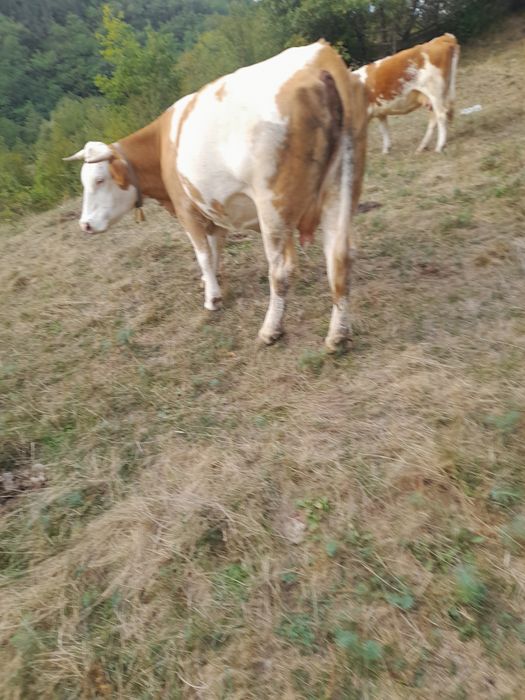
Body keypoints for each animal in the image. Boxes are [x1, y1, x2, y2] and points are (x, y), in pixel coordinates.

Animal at [64, 42, 368, 352]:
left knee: (280, 270)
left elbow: (203, 254)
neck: (161, 143)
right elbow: (214, 249)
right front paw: (214, 280)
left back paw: (271, 329)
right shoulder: (214, 208)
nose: (84, 225)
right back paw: (338, 335)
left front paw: (212, 298)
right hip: (341, 187)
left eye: (99, 180)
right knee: (340, 259)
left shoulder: (187, 209)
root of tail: (317, 63)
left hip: (273, 203)